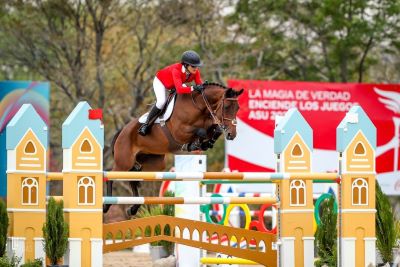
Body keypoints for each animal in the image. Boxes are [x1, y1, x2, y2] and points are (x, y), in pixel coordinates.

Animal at [103, 81, 244, 216]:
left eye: (238, 108)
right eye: (226, 107)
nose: (232, 134)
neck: (198, 106)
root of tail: (122, 131)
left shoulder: (210, 124)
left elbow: (215, 130)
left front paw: (205, 143)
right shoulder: (179, 131)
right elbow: (201, 131)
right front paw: (193, 145)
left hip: (152, 164)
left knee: (133, 177)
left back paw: (133, 209)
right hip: (124, 162)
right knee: (111, 175)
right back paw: (106, 206)